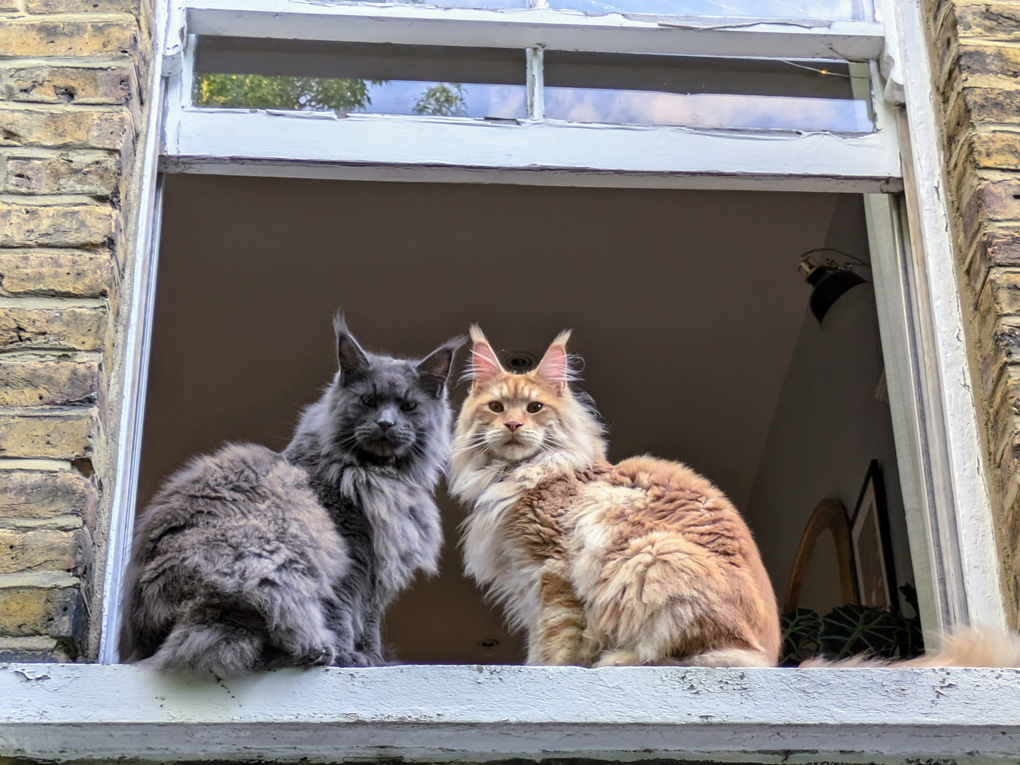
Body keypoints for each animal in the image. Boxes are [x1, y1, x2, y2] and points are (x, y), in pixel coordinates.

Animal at [118, 318, 463, 677]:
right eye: (368, 401)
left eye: (408, 406)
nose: (385, 423)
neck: (378, 477)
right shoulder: (345, 554)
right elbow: (340, 612)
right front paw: (347, 657)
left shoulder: (374, 569)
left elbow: (369, 621)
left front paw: (372, 658)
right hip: (269, 560)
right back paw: (317, 651)